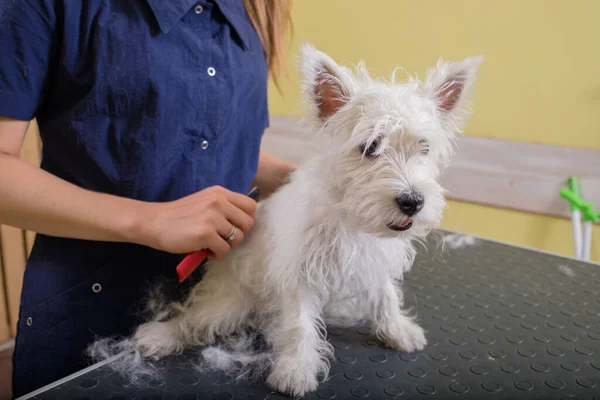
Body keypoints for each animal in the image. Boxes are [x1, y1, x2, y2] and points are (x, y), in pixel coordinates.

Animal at [101, 44, 480, 396]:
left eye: (425, 148)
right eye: (370, 146)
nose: (412, 201)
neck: (350, 220)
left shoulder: (375, 261)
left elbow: (385, 296)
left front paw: (398, 330)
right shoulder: (299, 274)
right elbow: (299, 325)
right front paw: (296, 370)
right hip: (226, 304)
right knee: (194, 320)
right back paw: (161, 335)